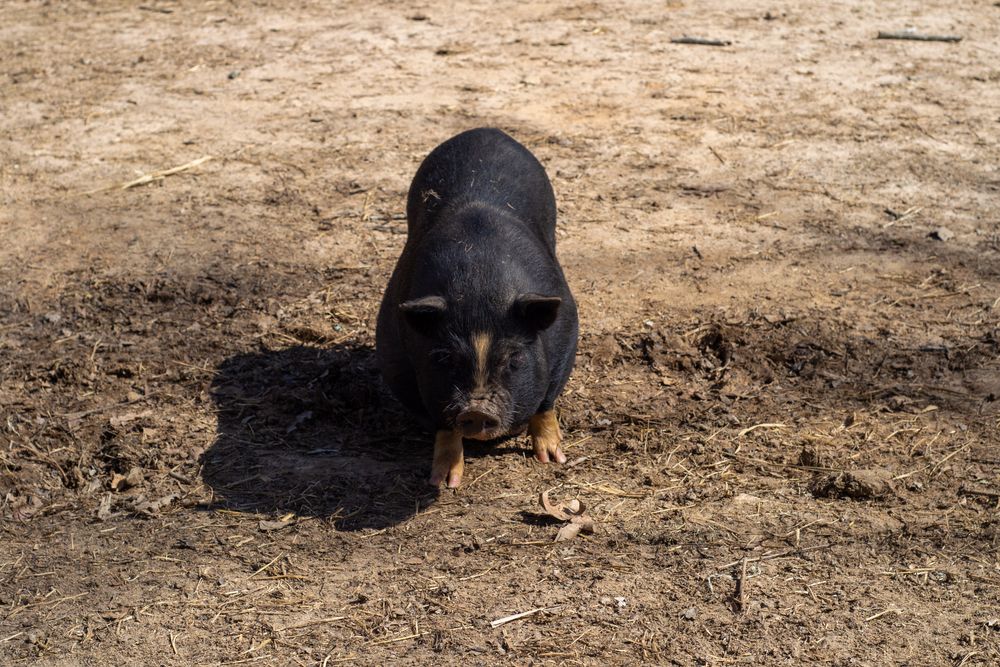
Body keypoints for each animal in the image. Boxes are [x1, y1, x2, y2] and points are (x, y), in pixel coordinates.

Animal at [375, 128, 578, 488]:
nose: (476, 410)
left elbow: (545, 403)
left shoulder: (567, 332)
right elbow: (442, 424)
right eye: (444, 357)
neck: (480, 287)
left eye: (514, 359)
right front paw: (444, 482)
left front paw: (552, 459)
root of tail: (487, 130)